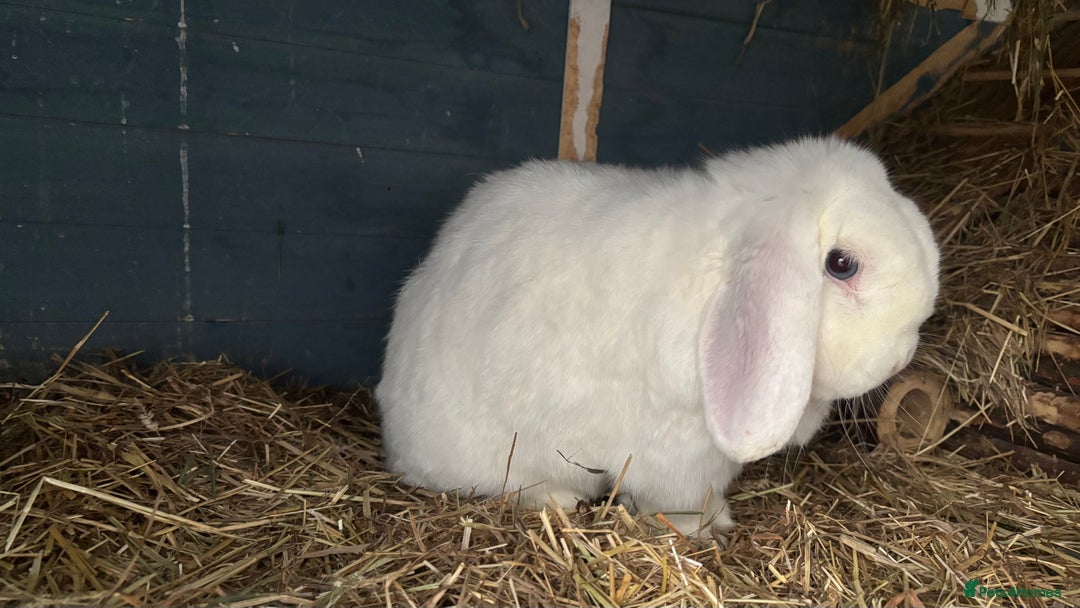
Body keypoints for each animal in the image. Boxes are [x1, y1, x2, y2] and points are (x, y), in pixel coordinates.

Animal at [376, 136, 940, 537]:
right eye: (841, 264)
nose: (902, 355)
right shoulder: (679, 454)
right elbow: (681, 499)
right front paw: (710, 527)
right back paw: (557, 500)